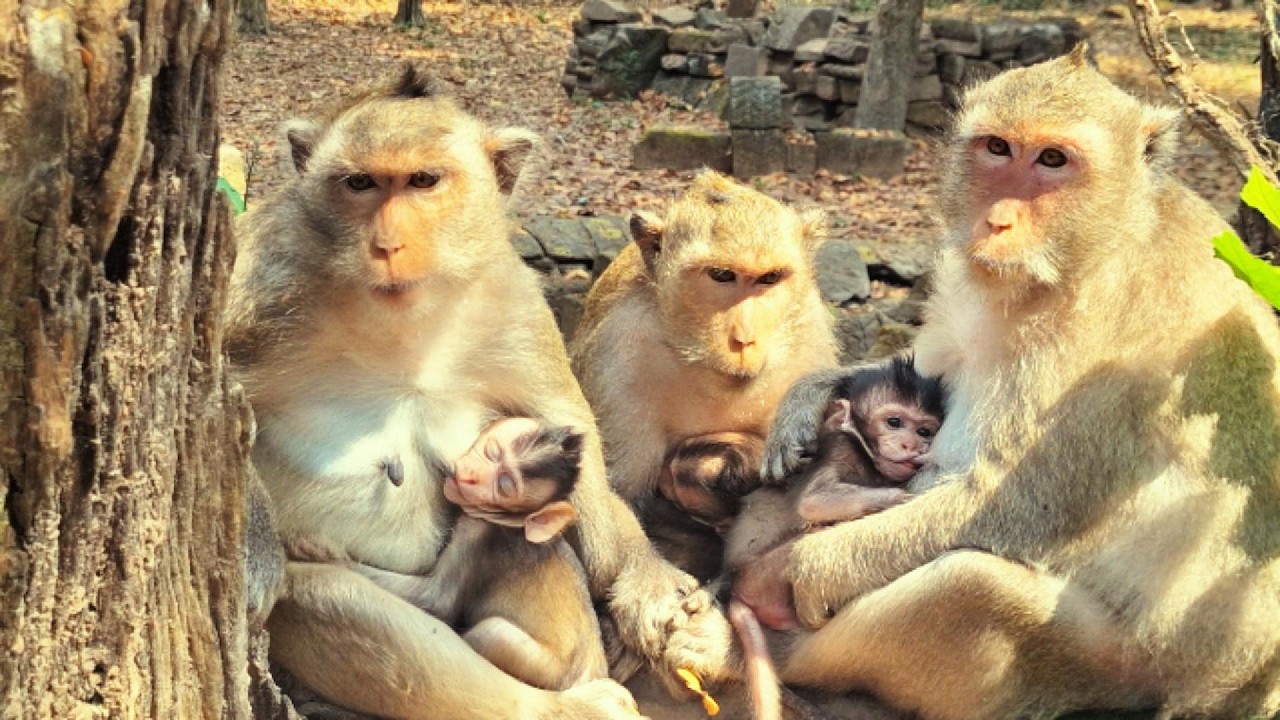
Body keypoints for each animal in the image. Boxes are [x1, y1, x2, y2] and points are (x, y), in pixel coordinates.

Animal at [352, 417, 609, 691]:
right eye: (491, 452)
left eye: (504, 485)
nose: (470, 477)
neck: (509, 522)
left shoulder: (477, 536)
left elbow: (438, 599)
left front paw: (335, 557)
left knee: (492, 632)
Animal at [569, 171, 839, 581]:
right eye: (722, 275)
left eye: (770, 278)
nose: (744, 339)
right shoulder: (619, 353)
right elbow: (614, 492)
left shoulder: (809, 338)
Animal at [725, 45, 1280, 719]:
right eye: (997, 148)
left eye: (1052, 160)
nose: (997, 221)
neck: (1083, 261)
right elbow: (922, 367)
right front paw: (808, 396)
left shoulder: (1119, 365)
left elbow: (1014, 508)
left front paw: (800, 568)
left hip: (1117, 674)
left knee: (970, 586)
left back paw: (773, 652)